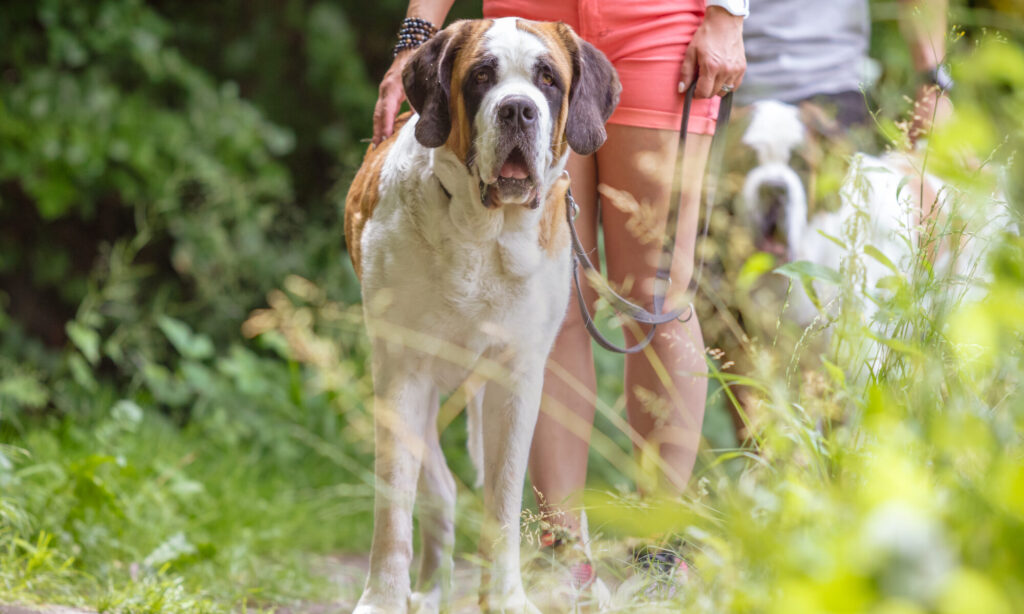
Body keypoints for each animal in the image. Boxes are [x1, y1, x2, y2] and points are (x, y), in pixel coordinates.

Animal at [346, 16, 614, 609]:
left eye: (547, 79)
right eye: (481, 77)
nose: (517, 110)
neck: (481, 235)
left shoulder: (518, 377)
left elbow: (504, 494)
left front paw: (506, 597)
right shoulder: (401, 370)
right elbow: (392, 501)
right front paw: (382, 598)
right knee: (436, 489)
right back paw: (425, 591)